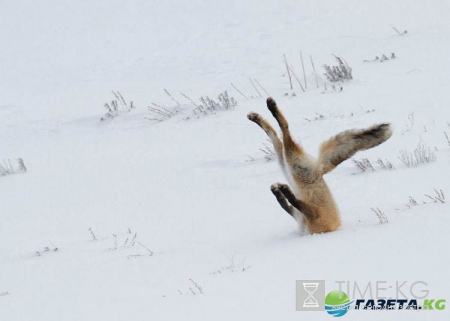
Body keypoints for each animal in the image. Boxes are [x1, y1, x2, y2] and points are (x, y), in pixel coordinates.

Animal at [248, 97, 392, 232]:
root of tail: (319, 169)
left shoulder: (313, 215)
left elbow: (292, 202)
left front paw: (283, 192)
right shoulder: (304, 215)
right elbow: (287, 204)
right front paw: (279, 192)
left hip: (291, 165)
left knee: (284, 130)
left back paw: (269, 109)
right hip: (287, 164)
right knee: (276, 135)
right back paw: (258, 116)